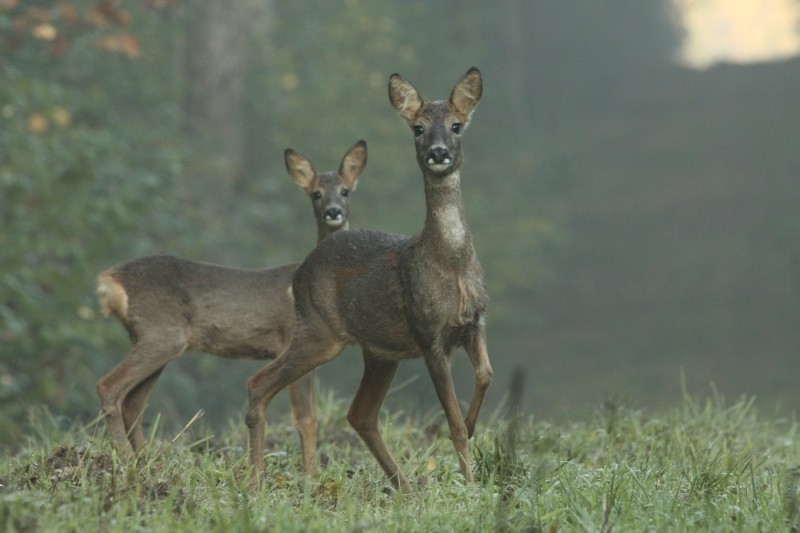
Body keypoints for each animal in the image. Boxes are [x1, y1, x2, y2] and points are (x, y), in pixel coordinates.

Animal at [95, 140, 368, 474]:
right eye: (316, 193)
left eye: (345, 191)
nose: (333, 212)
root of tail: (110, 280)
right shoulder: (293, 338)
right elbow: (306, 418)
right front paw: (311, 476)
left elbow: (309, 415)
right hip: (160, 334)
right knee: (109, 387)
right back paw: (127, 461)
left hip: (155, 340)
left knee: (133, 402)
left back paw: (147, 463)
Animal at [245, 68, 494, 492]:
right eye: (417, 128)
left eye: (457, 125)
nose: (438, 153)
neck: (451, 265)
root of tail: (301, 272)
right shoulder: (429, 335)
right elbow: (453, 424)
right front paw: (471, 484)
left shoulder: (474, 323)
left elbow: (486, 375)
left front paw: (475, 427)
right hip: (320, 331)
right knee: (258, 383)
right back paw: (256, 483)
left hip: (380, 351)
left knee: (360, 413)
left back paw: (405, 487)